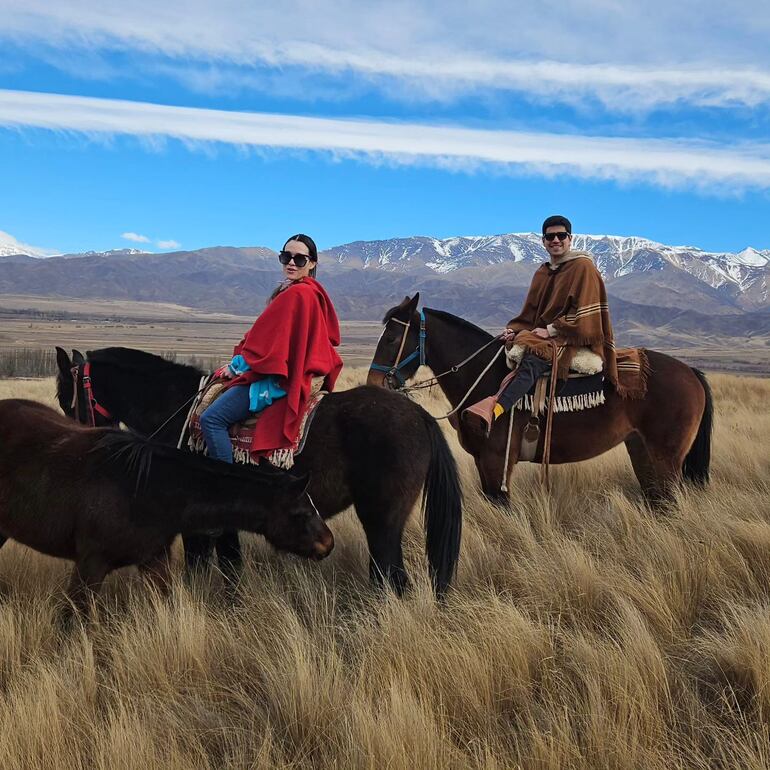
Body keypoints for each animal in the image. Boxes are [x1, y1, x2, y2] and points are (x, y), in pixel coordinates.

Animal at [55, 344, 462, 592]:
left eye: (63, 397)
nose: (77, 444)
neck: (175, 408)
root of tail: (419, 415)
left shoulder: (193, 522)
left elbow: (200, 567)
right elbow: (230, 567)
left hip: (382, 518)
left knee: (391, 578)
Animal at [364, 294, 712, 504]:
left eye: (392, 337)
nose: (374, 383)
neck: (482, 378)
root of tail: (691, 372)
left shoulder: (497, 462)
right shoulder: (482, 462)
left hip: (668, 459)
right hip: (641, 450)